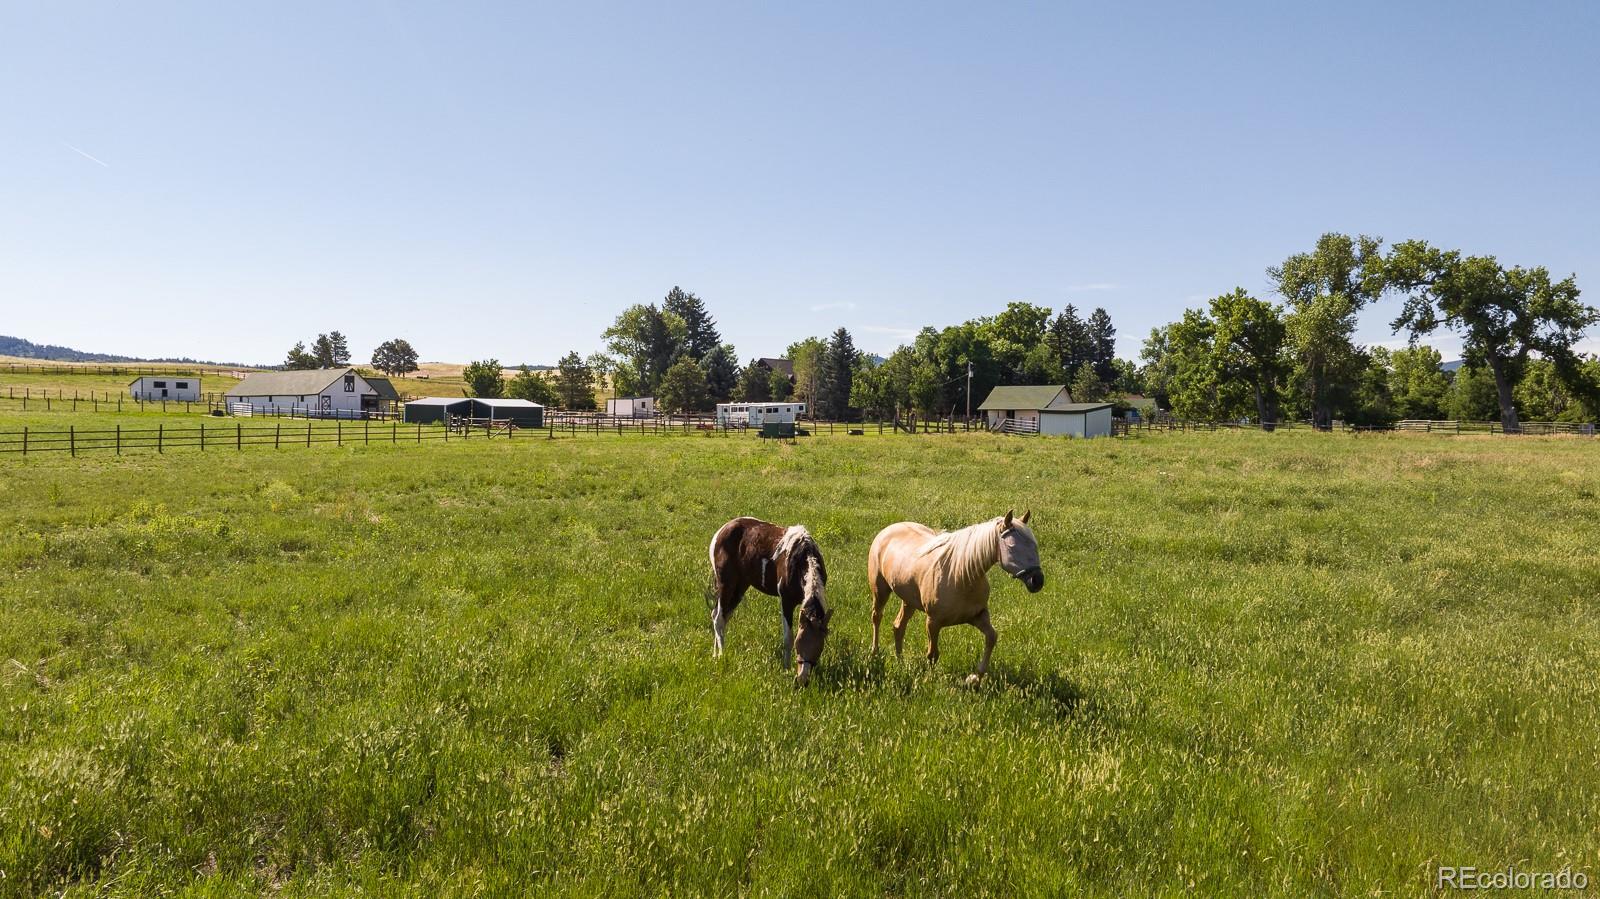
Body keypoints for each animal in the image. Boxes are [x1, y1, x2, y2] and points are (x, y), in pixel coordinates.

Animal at [713, 515, 838, 681]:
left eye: (819, 647)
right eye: (799, 644)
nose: (803, 679)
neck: (800, 559)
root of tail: (722, 530)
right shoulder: (786, 602)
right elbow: (788, 638)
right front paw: (786, 668)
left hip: (739, 588)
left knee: (719, 615)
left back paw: (714, 654)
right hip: (726, 585)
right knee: (718, 619)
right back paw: (722, 655)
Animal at [870, 508, 1043, 681]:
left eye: (1035, 545)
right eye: (1012, 546)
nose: (1037, 581)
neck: (961, 575)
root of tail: (889, 529)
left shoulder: (977, 616)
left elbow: (991, 638)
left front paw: (975, 678)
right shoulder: (933, 622)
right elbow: (932, 654)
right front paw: (929, 680)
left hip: (908, 601)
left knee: (898, 626)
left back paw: (900, 661)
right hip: (880, 591)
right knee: (877, 617)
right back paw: (875, 653)